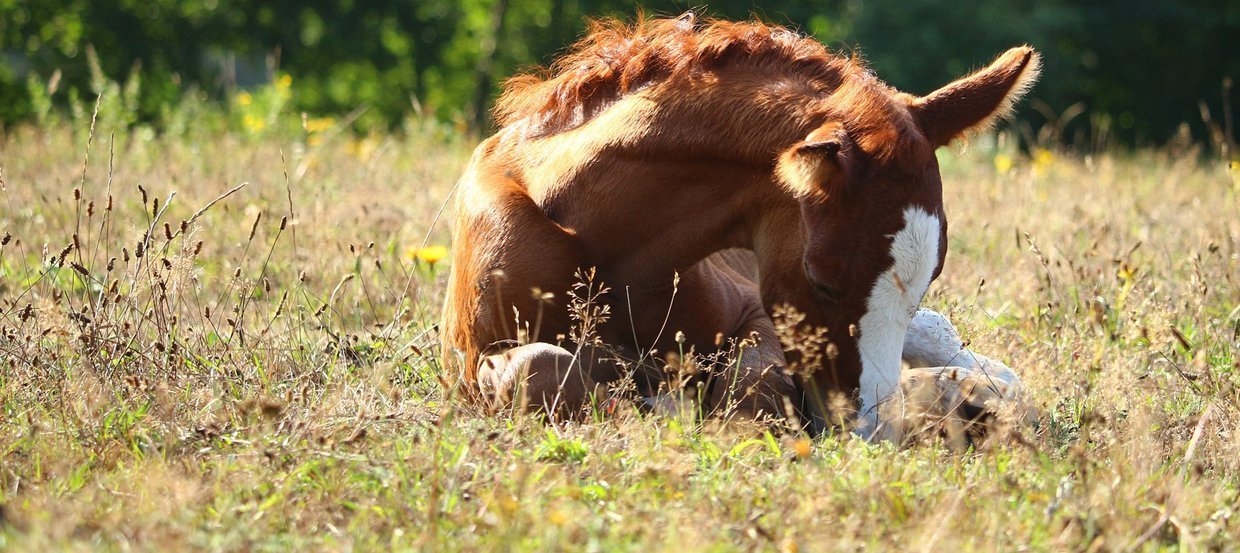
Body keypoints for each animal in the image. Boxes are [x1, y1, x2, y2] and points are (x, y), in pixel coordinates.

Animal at [441, 11, 1041, 441]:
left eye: (929, 277)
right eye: (822, 281)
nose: (872, 432)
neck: (601, 248)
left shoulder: (756, 312)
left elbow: (753, 384)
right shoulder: (468, 364)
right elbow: (540, 369)